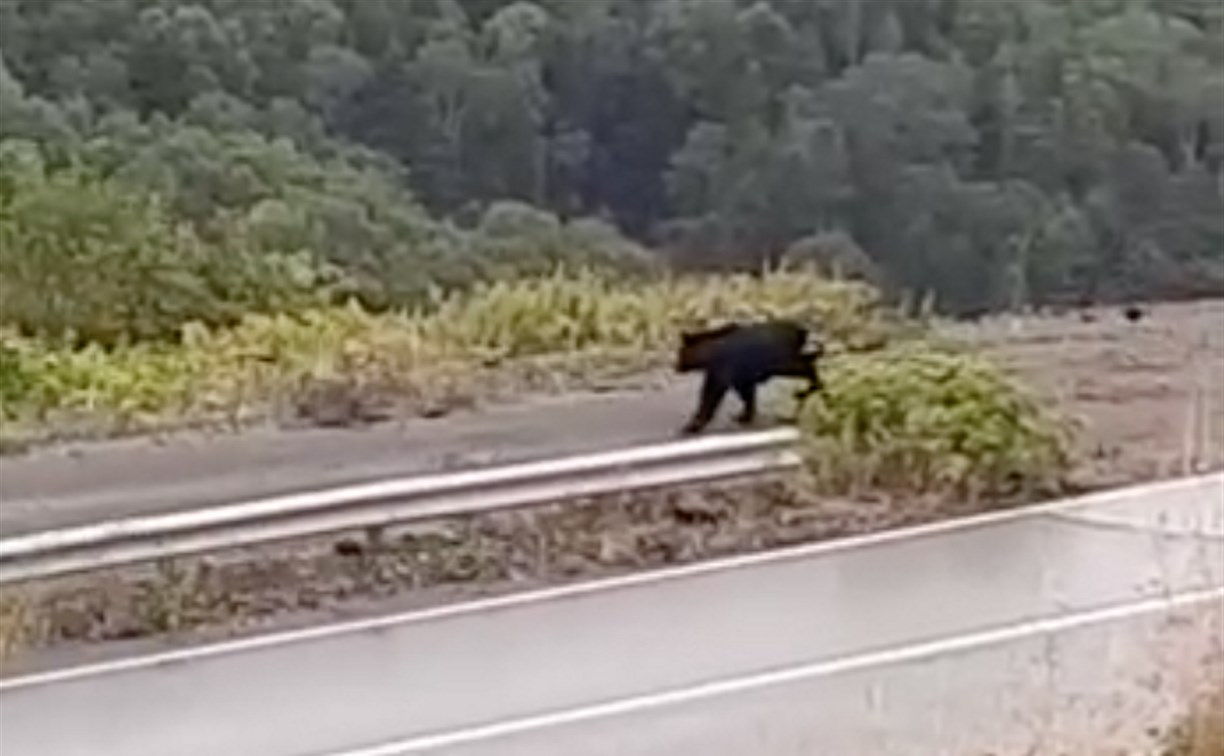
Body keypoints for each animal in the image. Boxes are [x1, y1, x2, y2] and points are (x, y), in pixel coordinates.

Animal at [675, 318, 827, 435]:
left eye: (680, 352)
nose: (676, 366)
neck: (707, 356)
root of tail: (801, 331)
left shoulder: (720, 377)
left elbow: (708, 400)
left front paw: (693, 425)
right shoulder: (742, 380)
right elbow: (748, 398)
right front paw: (744, 416)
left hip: (783, 363)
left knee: (809, 367)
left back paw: (804, 392)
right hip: (789, 360)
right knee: (811, 361)